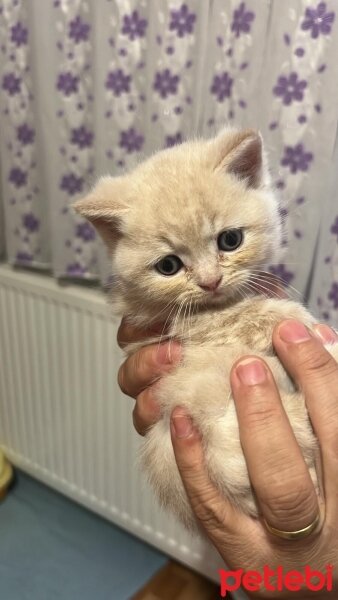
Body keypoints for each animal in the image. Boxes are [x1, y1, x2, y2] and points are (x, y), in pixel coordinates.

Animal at [74, 127, 338, 528]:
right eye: (168, 266)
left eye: (230, 240)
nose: (210, 281)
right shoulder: (168, 324)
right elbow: (229, 317)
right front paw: (292, 318)